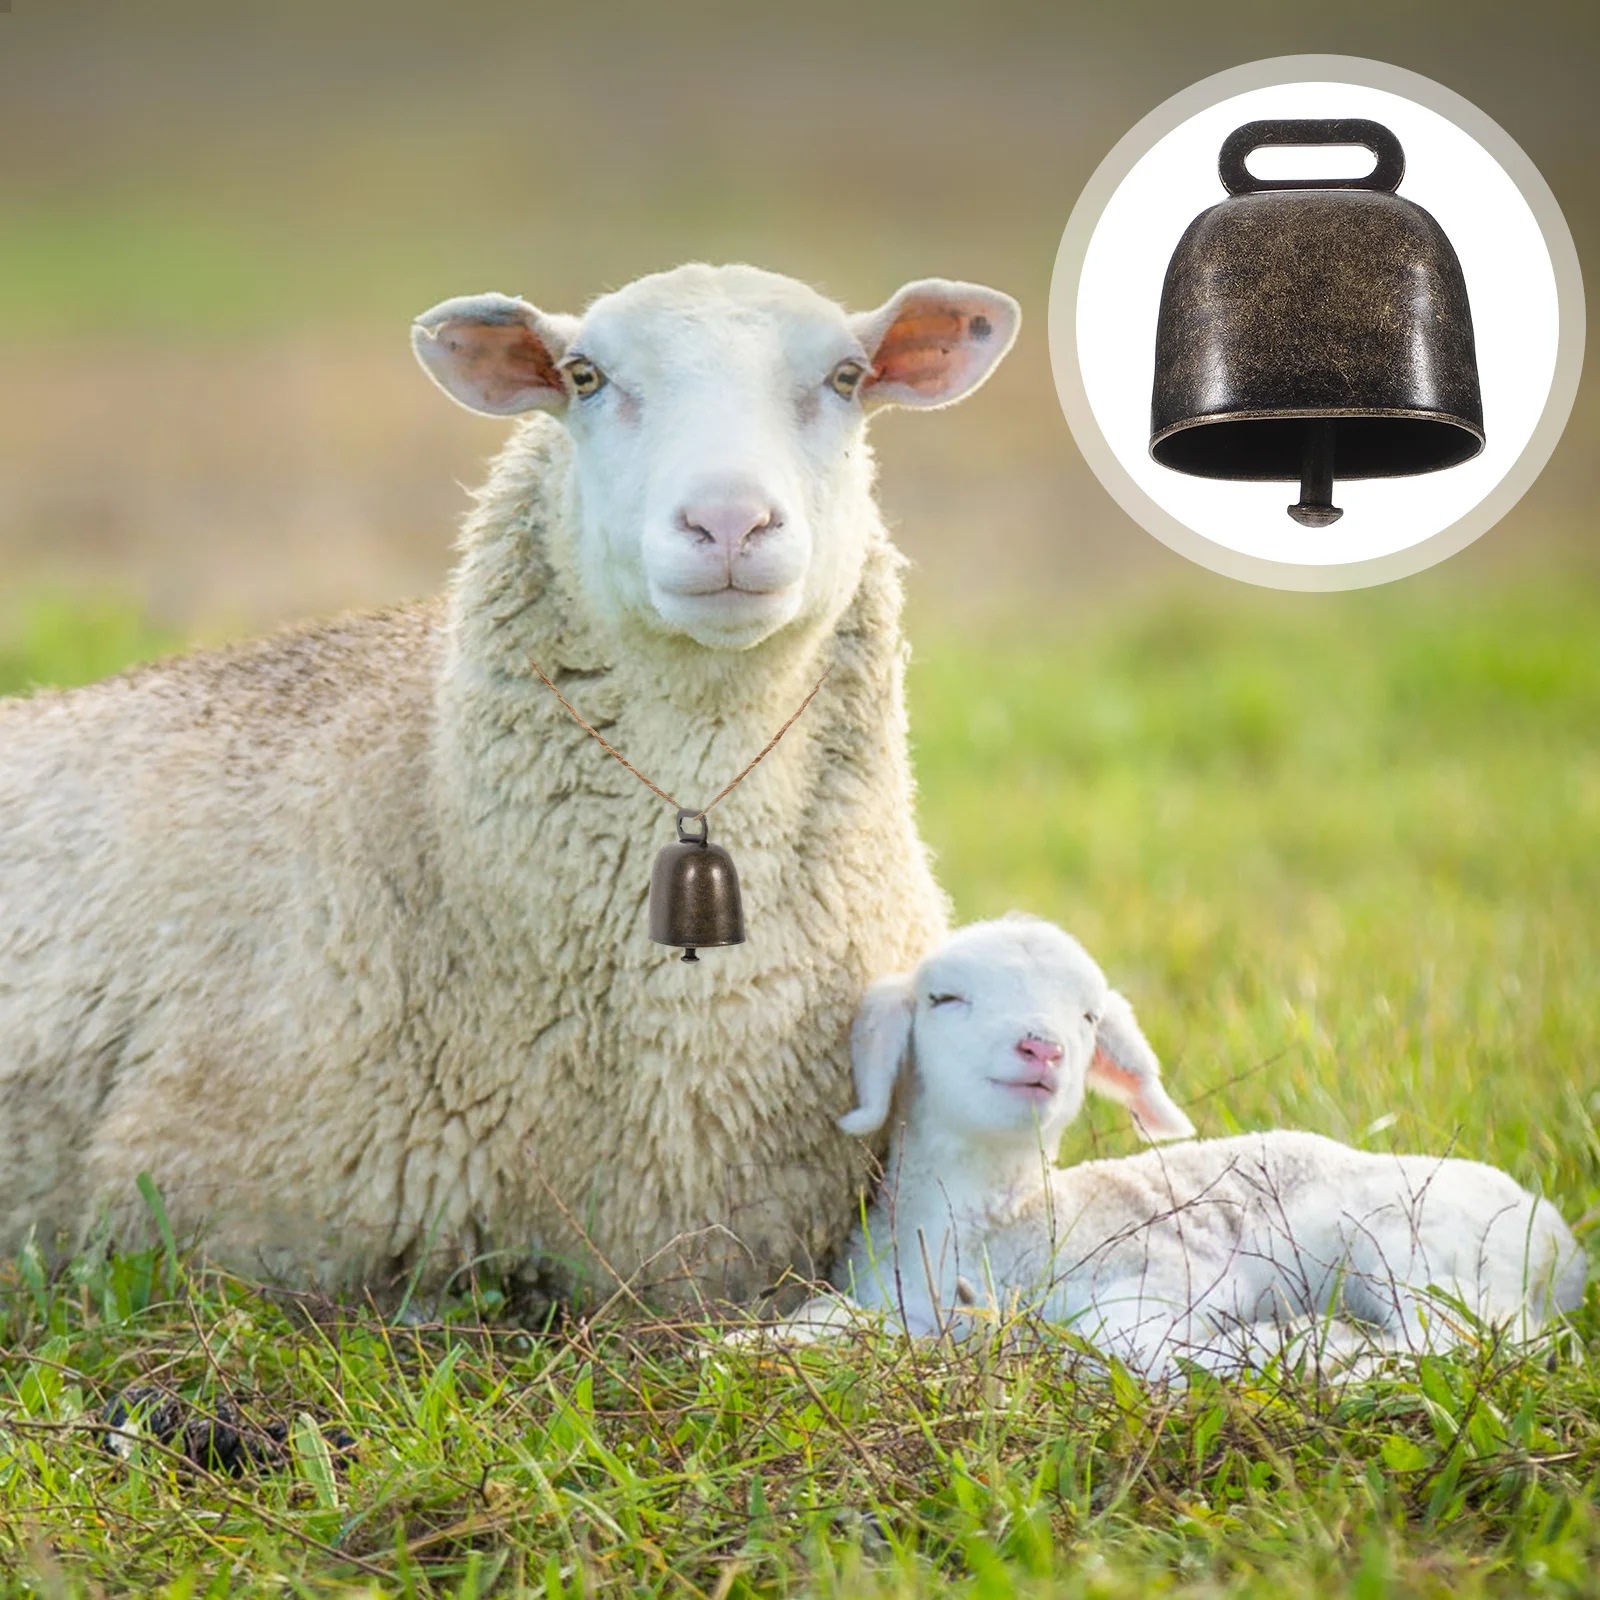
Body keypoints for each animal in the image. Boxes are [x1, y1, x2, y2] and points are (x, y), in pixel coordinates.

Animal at [761, 918, 1585, 1378]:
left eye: (1089, 1017)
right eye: (944, 998)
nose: (1042, 1047)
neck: (1003, 1220)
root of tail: (1562, 1244)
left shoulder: (1165, 1276)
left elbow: (1112, 1337)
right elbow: (822, 1321)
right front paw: (751, 1342)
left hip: (1416, 1246)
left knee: (1469, 1340)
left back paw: (1321, 1347)